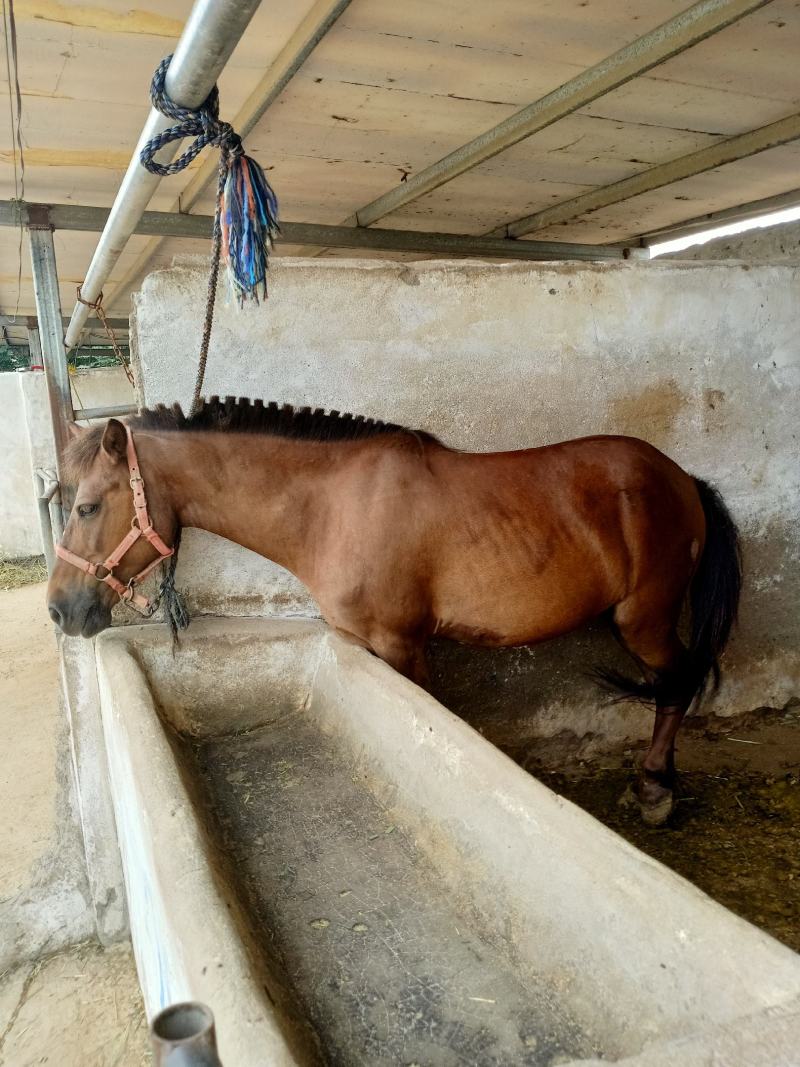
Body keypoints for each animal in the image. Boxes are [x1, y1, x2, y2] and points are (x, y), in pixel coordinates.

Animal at [47, 397, 742, 825]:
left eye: (86, 506)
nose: (60, 610)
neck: (331, 506)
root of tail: (682, 478)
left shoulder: (403, 644)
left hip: (645, 621)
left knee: (677, 683)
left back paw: (655, 789)